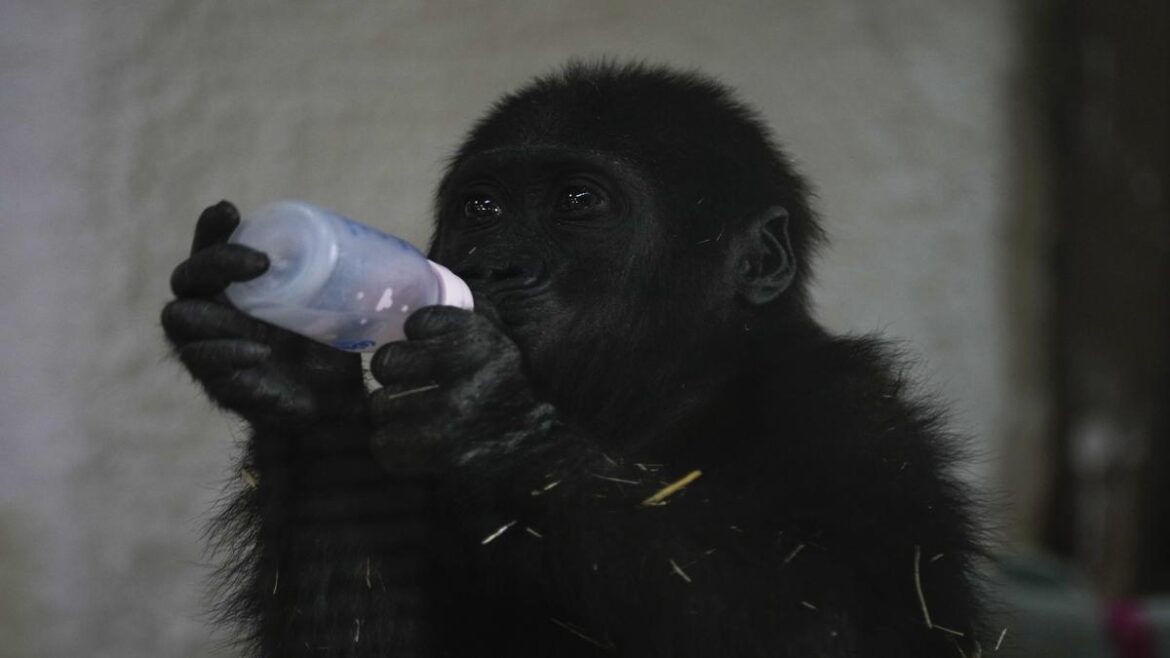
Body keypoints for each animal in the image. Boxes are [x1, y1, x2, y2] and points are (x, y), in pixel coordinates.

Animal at [164, 62, 987, 655]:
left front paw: (494, 426)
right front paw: (296, 373)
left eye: (577, 201)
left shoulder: (857, 419)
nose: (494, 268)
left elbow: (847, 627)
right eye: (483, 208)